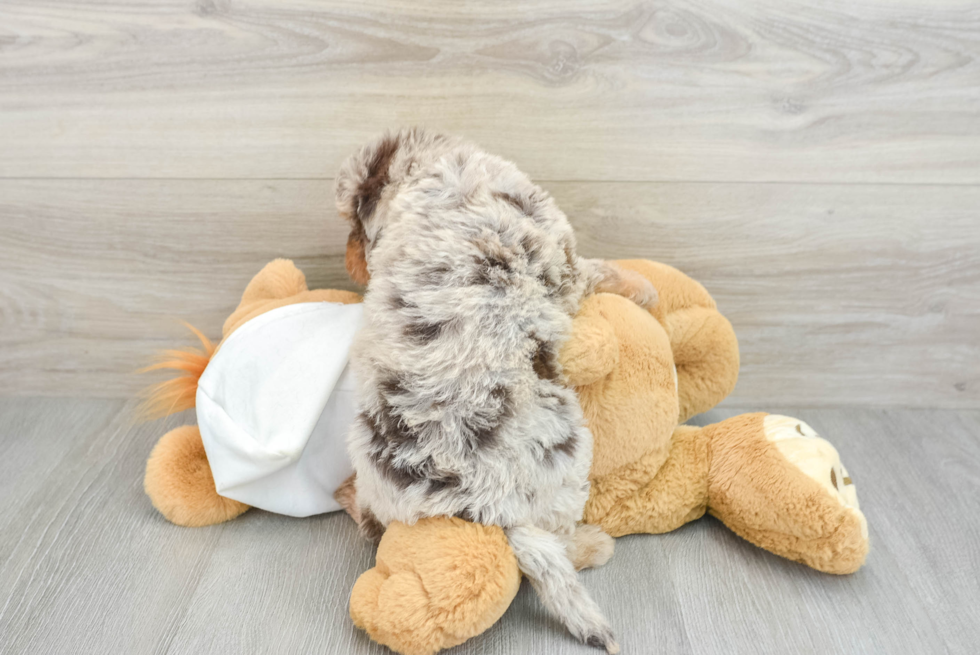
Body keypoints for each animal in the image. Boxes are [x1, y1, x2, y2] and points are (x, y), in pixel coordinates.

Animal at [336, 128, 660, 652]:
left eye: (353, 228)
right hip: (569, 460)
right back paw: (594, 544)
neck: (433, 169)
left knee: (369, 521)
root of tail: (484, 504)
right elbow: (602, 269)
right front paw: (644, 287)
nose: (350, 264)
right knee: (555, 542)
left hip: (371, 464)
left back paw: (345, 493)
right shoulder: (567, 263)